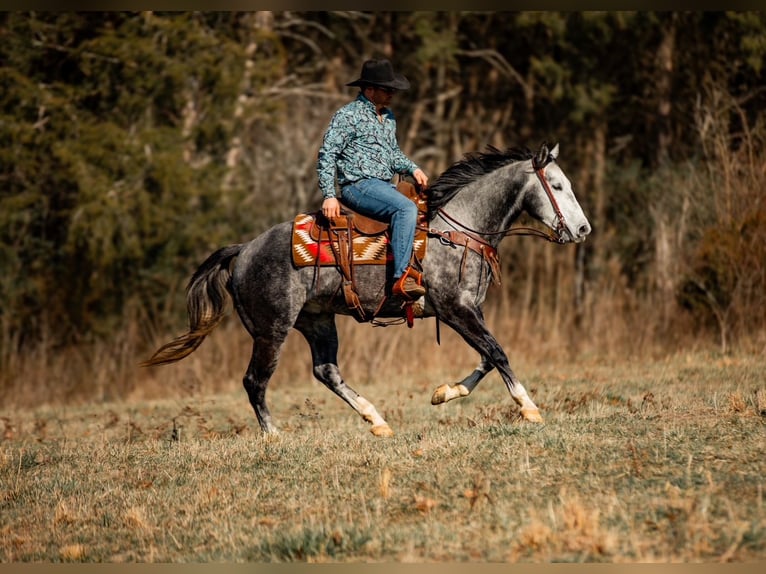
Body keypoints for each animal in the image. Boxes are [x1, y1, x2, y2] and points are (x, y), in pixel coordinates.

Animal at [142, 142, 591, 437]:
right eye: (557, 185)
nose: (584, 229)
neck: (457, 230)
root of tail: (245, 249)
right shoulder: (454, 309)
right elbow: (497, 353)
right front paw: (529, 409)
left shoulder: (468, 311)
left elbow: (487, 356)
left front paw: (444, 393)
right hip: (272, 329)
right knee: (255, 381)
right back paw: (274, 436)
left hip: (318, 321)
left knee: (326, 370)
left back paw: (376, 420)